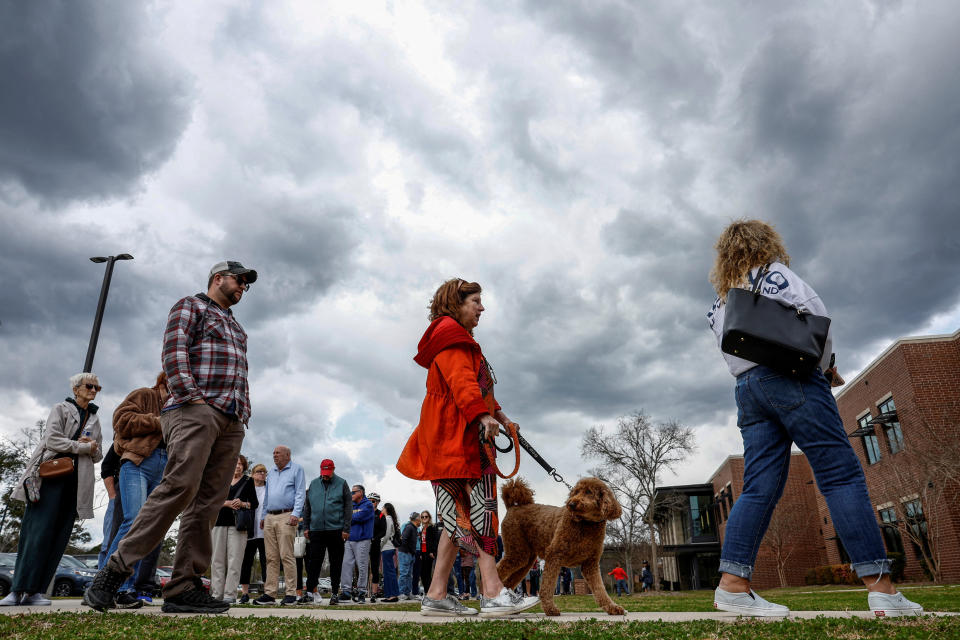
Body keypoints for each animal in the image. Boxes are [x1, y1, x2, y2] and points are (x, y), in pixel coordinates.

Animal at [498, 476, 628, 616]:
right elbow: (547, 587)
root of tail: (512, 507)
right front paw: (550, 609)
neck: (586, 524)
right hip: (516, 552)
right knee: (498, 570)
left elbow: (600, 589)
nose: (571, 504)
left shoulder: (591, 565)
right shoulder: (554, 555)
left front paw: (612, 607)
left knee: (508, 581)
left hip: (525, 560)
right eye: (576, 492)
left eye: (588, 492)